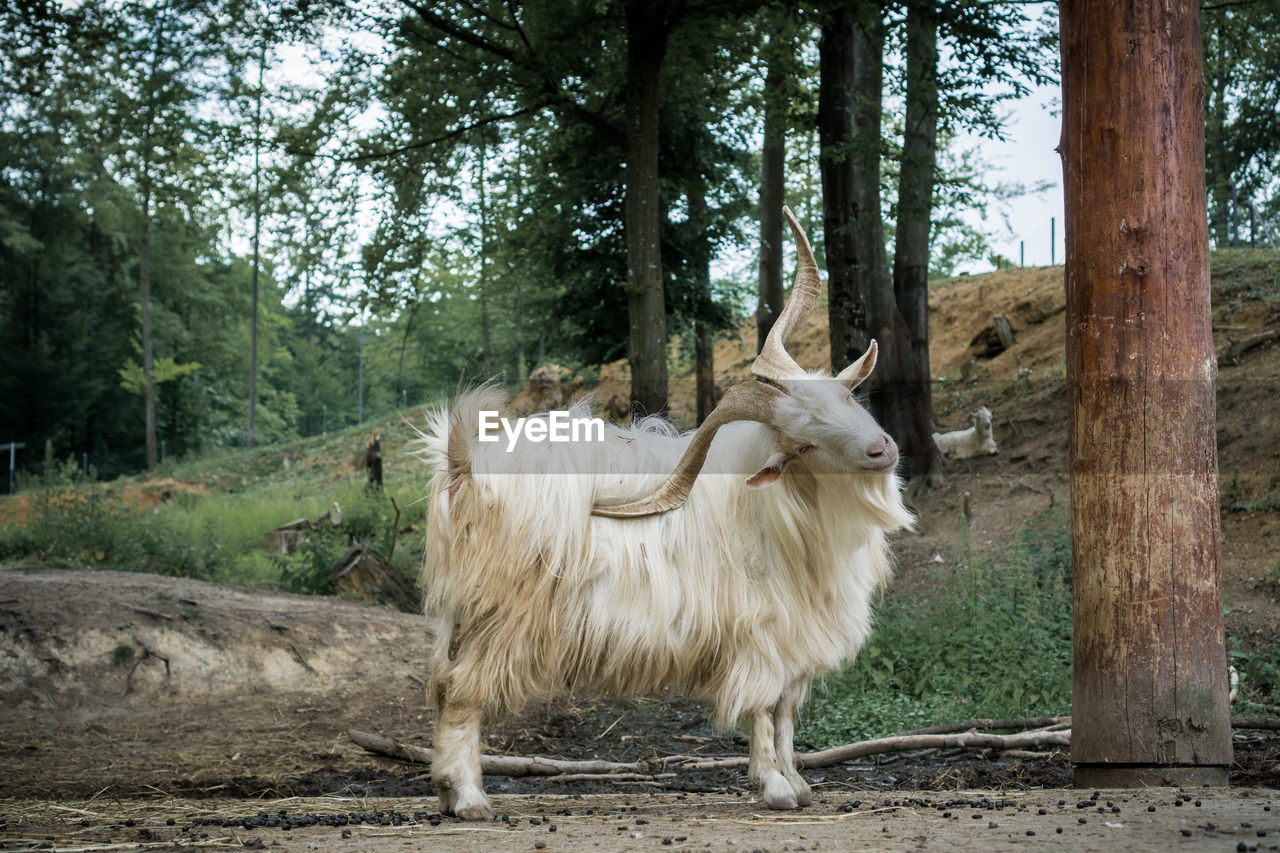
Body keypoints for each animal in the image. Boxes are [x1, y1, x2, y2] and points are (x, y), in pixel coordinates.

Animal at [417, 204, 911, 819]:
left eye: (843, 398)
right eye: (801, 444)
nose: (881, 450)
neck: (786, 513)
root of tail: (463, 467)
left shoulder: (796, 640)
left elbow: (786, 713)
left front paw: (798, 783)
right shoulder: (760, 635)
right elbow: (762, 710)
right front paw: (774, 787)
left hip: (459, 615)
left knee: (441, 684)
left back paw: (446, 790)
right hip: (500, 615)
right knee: (462, 691)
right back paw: (468, 798)